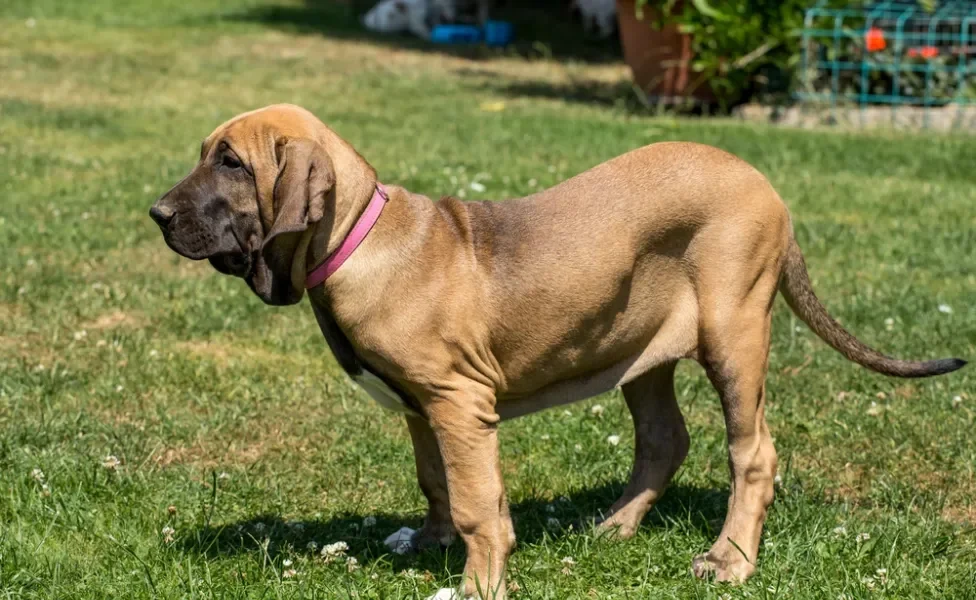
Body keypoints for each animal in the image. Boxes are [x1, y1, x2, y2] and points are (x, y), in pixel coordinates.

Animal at [149, 105, 964, 596]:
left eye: (231, 163)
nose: (156, 213)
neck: (358, 239)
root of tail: (767, 188)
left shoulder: (460, 401)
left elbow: (477, 501)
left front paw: (479, 579)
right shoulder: (423, 407)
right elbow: (435, 480)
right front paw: (432, 541)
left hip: (734, 332)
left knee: (751, 453)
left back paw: (729, 560)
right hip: (641, 348)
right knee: (664, 440)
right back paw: (612, 528)